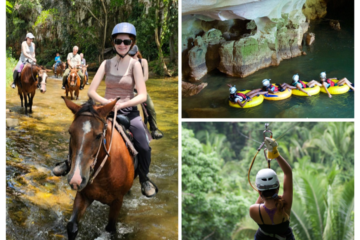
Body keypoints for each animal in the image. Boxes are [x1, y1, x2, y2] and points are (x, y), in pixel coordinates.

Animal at [62, 96, 135, 239]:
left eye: (98, 135)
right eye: (70, 132)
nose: (76, 179)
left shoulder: (118, 201)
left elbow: (110, 229)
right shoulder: (83, 195)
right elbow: (72, 226)